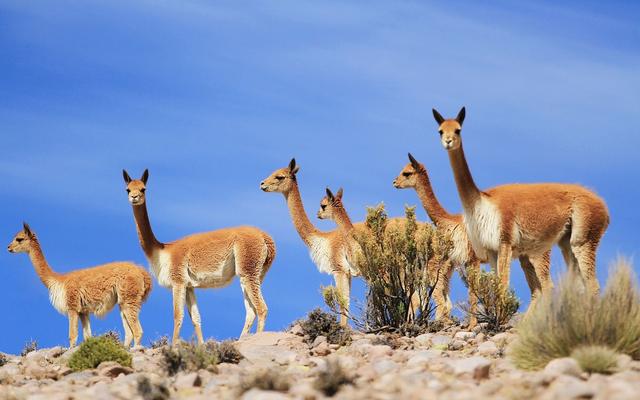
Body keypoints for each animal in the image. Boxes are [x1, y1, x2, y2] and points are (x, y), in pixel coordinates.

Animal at [7, 223, 152, 348]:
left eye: (19, 239)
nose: (8, 247)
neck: (58, 280)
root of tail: (142, 272)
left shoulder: (72, 306)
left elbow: (72, 336)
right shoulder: (83, 311)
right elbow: (87, 336)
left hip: (129, 297)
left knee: (138, 331)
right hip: (123, 302)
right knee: (129, 333)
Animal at [123, 169, 276, 343]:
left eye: (143, 189)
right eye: (128, 189)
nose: (134, 197)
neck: (161, 251)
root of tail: (265, 237)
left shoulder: (178, 281)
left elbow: (177, 316)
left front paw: (174, 345)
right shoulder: (189, 286)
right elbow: (196, 318)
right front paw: (201, 345)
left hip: (248, 268)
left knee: (261, 308)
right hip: (254, 273)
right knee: (251, 311)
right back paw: (241, 339)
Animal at [432, 107, 609, 296]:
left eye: (458, 130)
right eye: (440, 131)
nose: (448, 142)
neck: (480, 203)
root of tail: (604, 206)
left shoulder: (505, 241)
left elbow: (503, 287)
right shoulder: (491, 250)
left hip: (584, 237)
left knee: (592, 284)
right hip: (565, 242)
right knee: (578, 284)